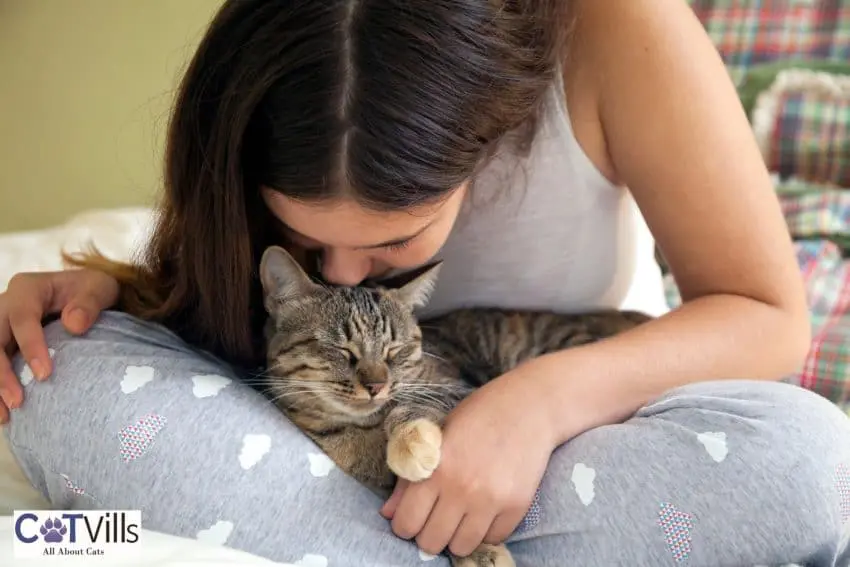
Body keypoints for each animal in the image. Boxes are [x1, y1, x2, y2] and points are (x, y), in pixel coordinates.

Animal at [258, 247, 648, 567]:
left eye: (394, 350)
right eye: (343, 350)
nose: (376, 385)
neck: (361, 430)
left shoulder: (458, 388)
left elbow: (412, 405)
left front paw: (410, 443)